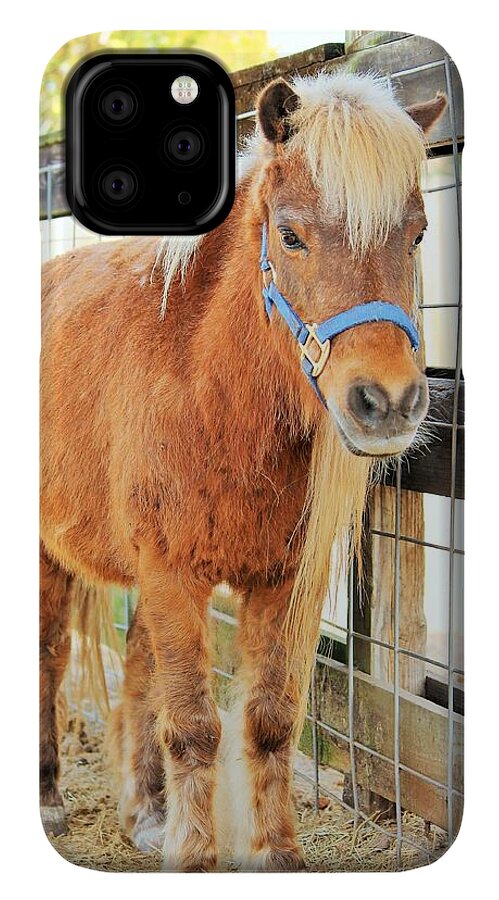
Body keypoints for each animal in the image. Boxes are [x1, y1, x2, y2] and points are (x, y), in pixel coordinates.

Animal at [40, 71, 446, 871]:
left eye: (416, 234)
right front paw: (197, 859)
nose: (386, 403)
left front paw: (275, 856)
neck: (209, 389)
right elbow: (195, 726)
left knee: (138, 670)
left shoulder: (281, 580)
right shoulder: (171, 571)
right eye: (289, 235)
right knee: (49, 658)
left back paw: (146, 814)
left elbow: (267, 720)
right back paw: (48, 799)